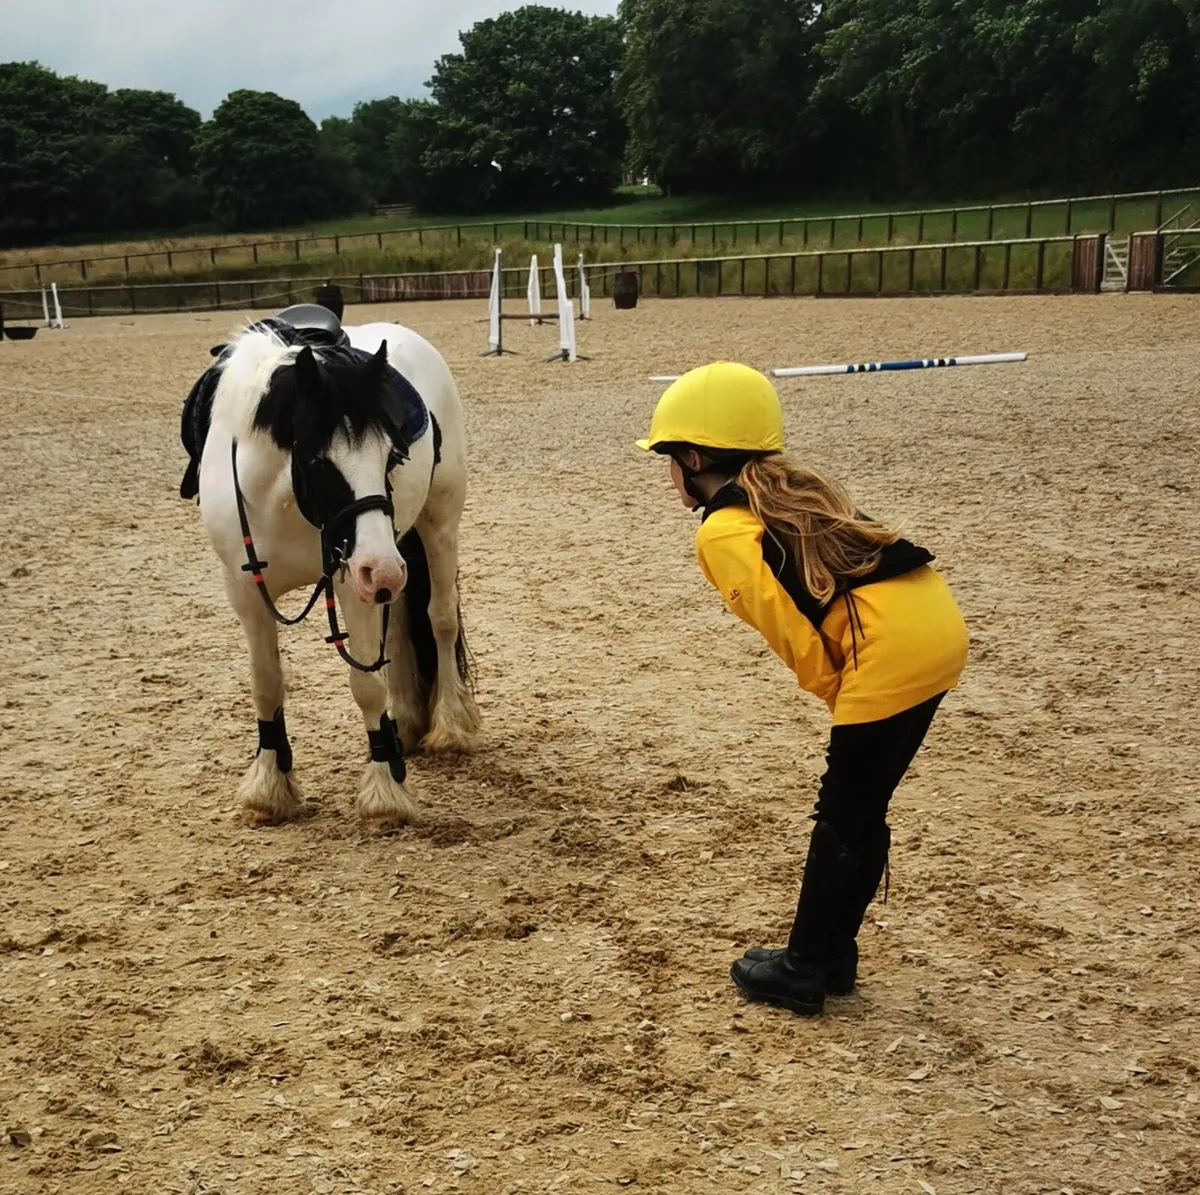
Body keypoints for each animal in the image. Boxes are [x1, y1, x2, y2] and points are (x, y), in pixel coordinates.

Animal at [180, 304, 481, 830]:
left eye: (392, 454)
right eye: (320, 462)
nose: (385, 571)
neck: (280, 498)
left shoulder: (351, 579)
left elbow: (365, 686)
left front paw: (384, 791)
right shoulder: (246, 591)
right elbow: (266, 685)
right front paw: (269, 786)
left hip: (433, 527)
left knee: (439, 620)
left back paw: (449, 725)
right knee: (398, 630)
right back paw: (406, 722)